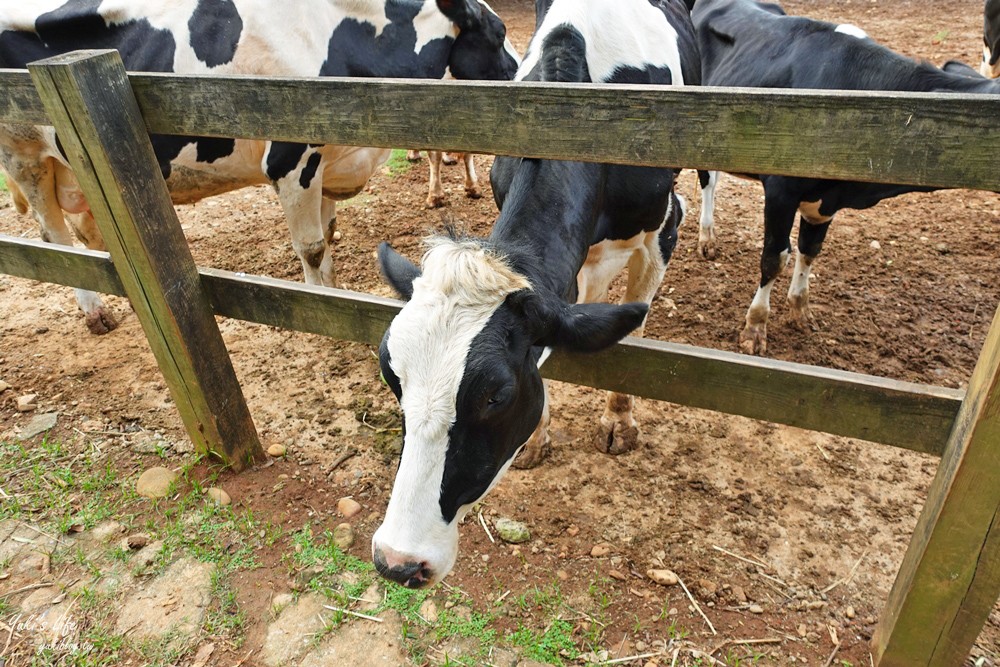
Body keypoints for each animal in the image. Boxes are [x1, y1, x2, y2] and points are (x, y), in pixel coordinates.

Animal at [0, 0, 516, 334]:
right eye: (499, 33)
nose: (518, 74)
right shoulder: (292, 160)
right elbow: (311, 246)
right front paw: (320, 304)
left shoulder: (324, 162)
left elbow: (327, 235)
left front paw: (334, 289)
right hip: (24, 156)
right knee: (53, 234)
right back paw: (93, 312)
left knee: (86, 233)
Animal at [372, 0, 700, 588]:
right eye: (392, 374)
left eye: (496, 395)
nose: (398, 561)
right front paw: (540, 437)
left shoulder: (663, 224)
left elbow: (633, 333)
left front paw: (619, 421)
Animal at [692, 0, 996, 358]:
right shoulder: (781, 190)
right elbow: (774, 258)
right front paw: (755, 327)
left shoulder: (826, 200)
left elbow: (810, 250)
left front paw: (800, 310)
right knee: (708, 181)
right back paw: (707, 239)